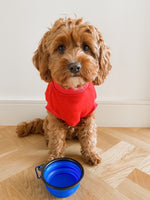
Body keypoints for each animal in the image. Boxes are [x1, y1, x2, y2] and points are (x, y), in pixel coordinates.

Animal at [16, 17, 111, 165]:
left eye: (86, 47)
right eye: (60, 47)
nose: (74, 66)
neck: (72, 90)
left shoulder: (89, 115)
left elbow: (89, 135)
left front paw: (90, 154)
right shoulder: (54, 117)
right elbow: (57, 139)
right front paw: (55, 157)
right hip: (48, 121)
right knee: (49, 133)